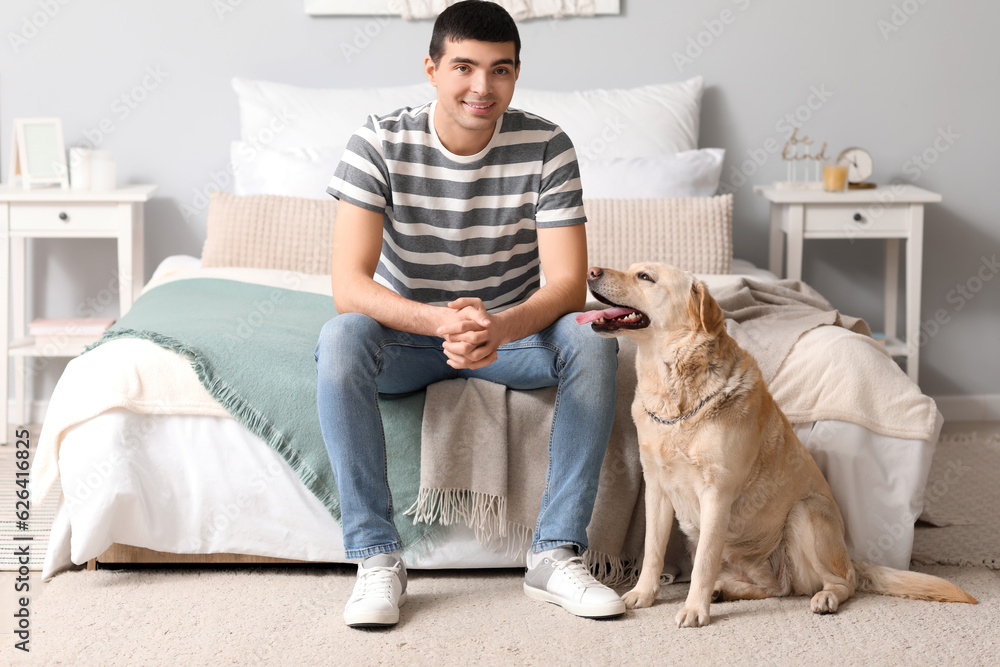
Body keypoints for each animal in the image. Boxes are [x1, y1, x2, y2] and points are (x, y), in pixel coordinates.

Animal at [580, 264, 976, 628]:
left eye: (645, 277)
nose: (592, 270)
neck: (674, 399)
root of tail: (850, 555)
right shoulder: (657, 489)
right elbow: (652, 552)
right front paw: (644, 594)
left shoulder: (717, 493)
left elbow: (703, 563)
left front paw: (694, 610)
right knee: (776, 588)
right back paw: (725, 590)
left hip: (806, 513)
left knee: (841, 582)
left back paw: (824, 597)